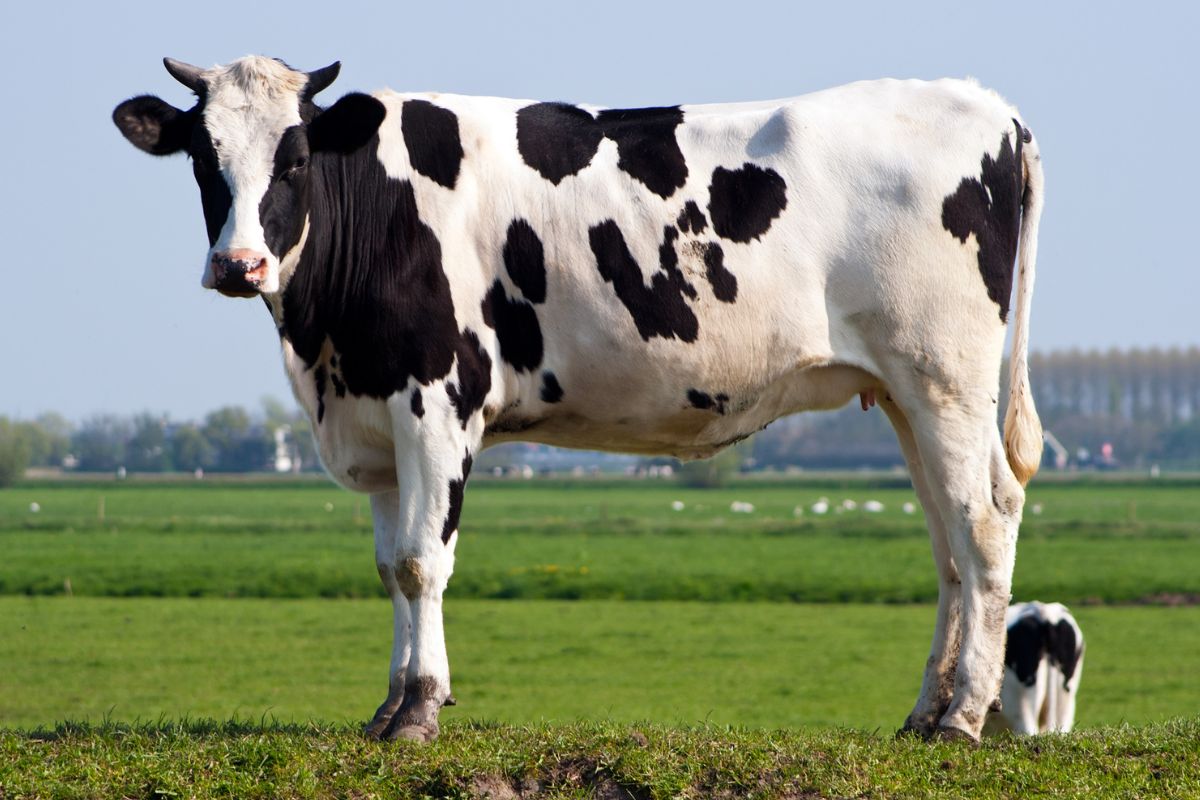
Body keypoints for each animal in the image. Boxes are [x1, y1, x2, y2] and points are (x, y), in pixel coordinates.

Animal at [113, 56, 1044, 742]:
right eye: (202, 157)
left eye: (296, 157)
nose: (239, 265)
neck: (325, 345)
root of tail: (990, 107)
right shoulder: (374, 420)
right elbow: (388, 566)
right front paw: (389, 704)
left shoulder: (437, 405)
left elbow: (422, 562)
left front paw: (420, 709)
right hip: (905, 394)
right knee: (948, 543)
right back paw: (924, 715)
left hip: (946, 379)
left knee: (985, 520)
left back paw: (964, 717)